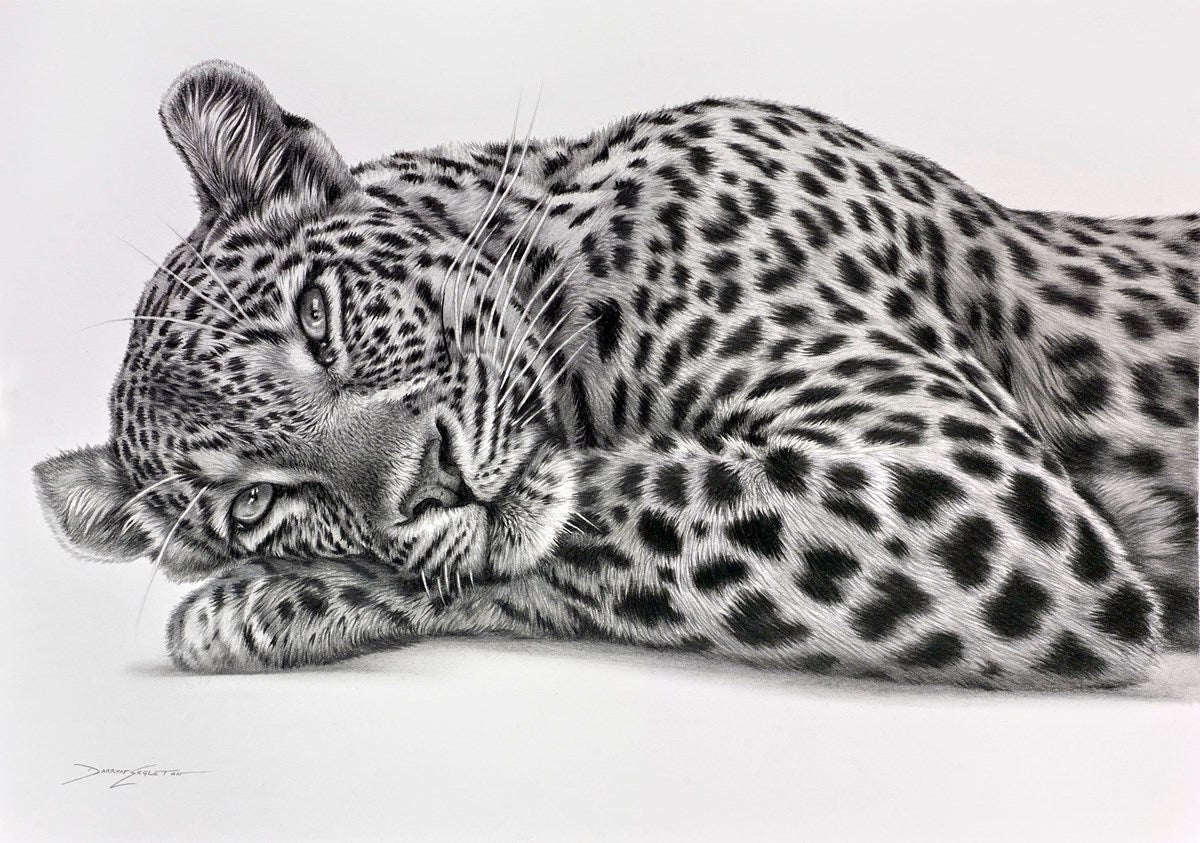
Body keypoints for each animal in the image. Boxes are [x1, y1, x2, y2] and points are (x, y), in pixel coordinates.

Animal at [34, 60, 1198, 689]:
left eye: (318, 320)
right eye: (253, 504)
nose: (428, 486)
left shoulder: (963, 479)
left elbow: (645, 508)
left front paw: (251, 607)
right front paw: (286, 596)